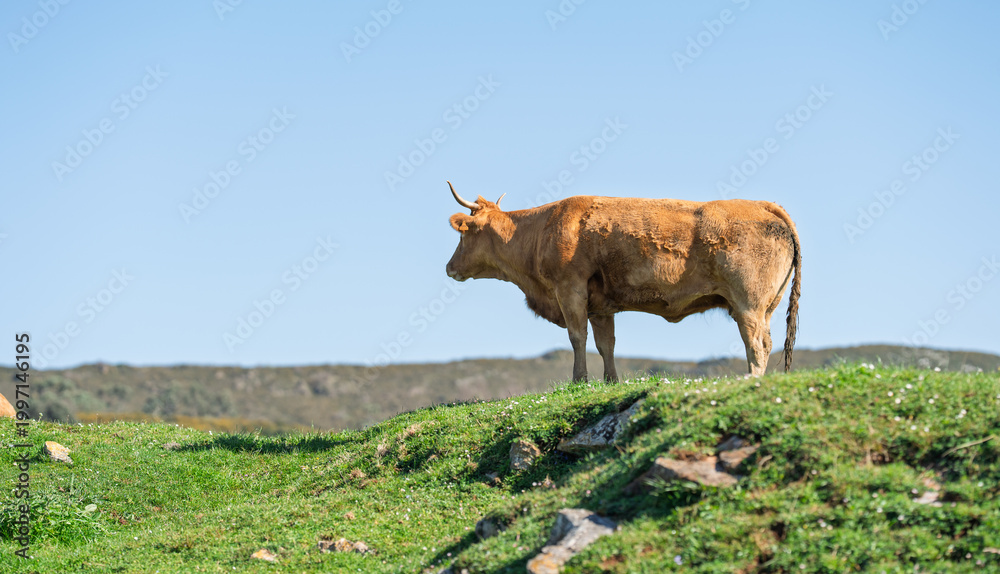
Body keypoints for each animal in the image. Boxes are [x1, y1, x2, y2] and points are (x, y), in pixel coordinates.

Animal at [444, 181, 801, 381]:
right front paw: (610, 381)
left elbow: (577, 337)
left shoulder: (569, 288)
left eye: (464, 234)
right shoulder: (601, 306)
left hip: (748, 304)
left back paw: (751, 379)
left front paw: (579, 380)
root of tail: (763, 205)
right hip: (766, 306)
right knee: (765, 343)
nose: (449, 267)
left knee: (757, 344)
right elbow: (607, 345)